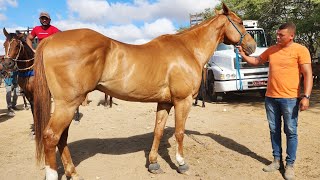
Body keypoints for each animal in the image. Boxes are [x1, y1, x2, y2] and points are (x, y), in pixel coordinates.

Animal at [2, 3, 258, 179]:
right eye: (240, 22)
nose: (251, 46)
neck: (187, 49)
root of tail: (51, 42)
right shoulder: (182, 101)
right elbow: (179, 133)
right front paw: (181, 163)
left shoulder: (165, 102)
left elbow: (157, 132)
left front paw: (154, 163)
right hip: (67, 103)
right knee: (51, 136)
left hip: (66, 105)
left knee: (61, 138)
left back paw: (73, 173)